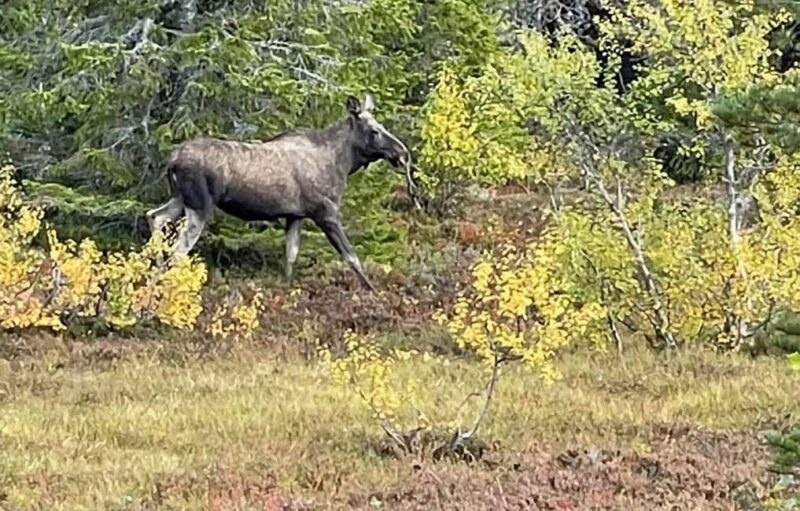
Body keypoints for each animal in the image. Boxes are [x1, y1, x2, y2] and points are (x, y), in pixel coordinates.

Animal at [145, 93, 416, 292]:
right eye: (374, 131)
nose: (402, 152)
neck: (342, 163)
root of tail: (172, 161)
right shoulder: (325, 213)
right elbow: (352, 257)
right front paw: (374, 293)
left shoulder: (295, 216)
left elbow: (290, 257)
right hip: (200, 205)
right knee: (177, 251)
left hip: (180, 198)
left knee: (154, 216)